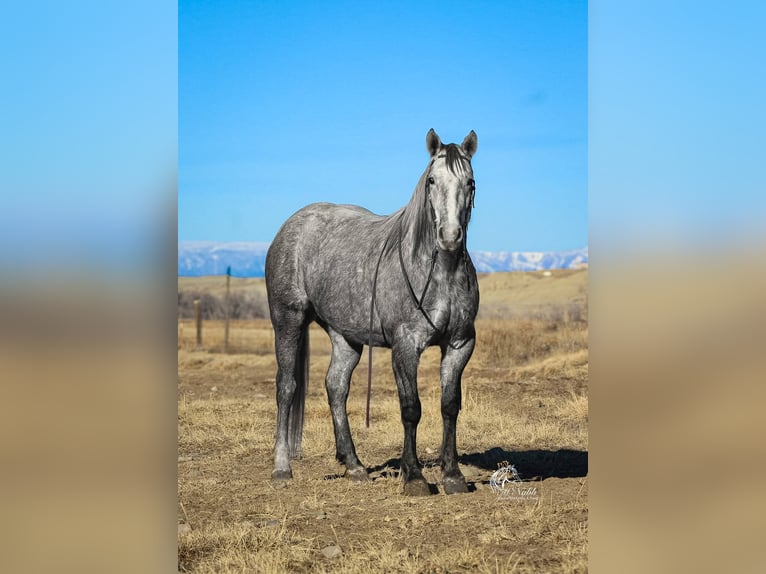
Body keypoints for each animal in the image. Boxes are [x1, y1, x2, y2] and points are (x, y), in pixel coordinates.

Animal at [265, 129, 479, 495]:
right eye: (432, 180)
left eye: (470, 182)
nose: (450, 236)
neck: (440, 272)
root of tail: (290, 227)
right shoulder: (406, 346)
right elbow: (411, 408)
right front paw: (414, 477)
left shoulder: (460, 344)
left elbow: (449, 406)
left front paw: (453, 475)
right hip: (288, 320)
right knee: (287, 387)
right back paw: (282, 467)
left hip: (345, 337)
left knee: (336, 387)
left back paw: (354, 466)